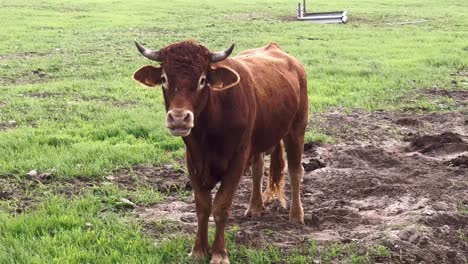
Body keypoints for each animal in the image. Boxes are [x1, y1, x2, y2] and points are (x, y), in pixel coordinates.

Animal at [133, 39, 308, 264]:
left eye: (202, 80)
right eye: (164, 78)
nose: (179, 118)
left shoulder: (237, 161)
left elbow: (220, 207)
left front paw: (219, 253)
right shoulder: (193, 162)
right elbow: (202, 207)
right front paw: (198, 250)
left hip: (297, 128)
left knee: (295, 171)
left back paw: (296, 215)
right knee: (259, 170)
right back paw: (255, 207)